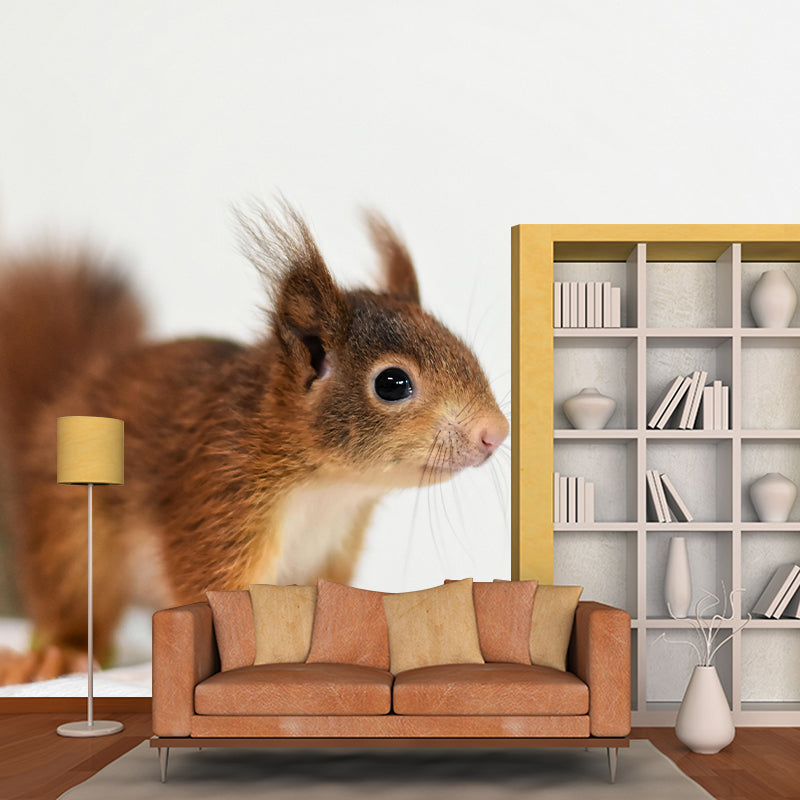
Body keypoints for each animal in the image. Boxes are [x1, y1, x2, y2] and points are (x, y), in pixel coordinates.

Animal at [0, 204, 508, 683]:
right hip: (70, 534)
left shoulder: (332, 548)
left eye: (459, 345)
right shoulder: (220, 496)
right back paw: (56, 654)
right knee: (74, 604)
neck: (329, 487)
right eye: (392, 383)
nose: (496, 432)